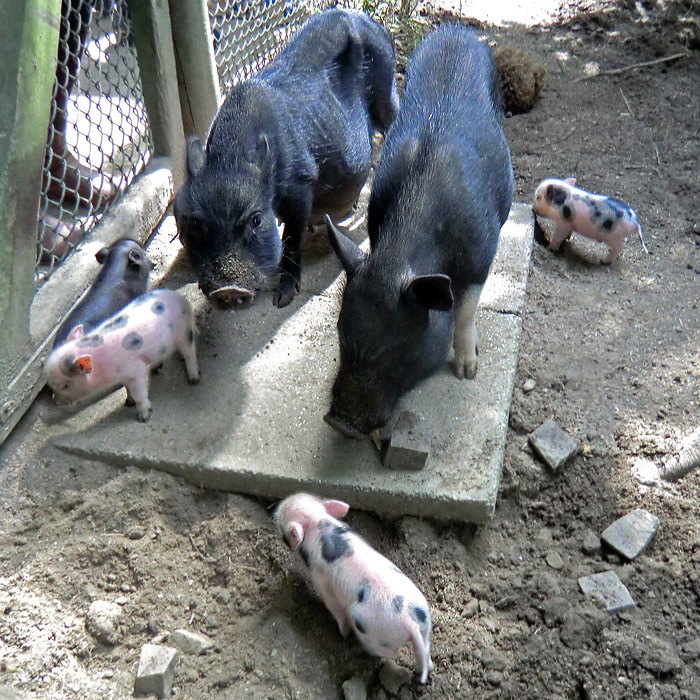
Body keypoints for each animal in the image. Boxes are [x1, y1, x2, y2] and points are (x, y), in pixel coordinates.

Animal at [173, 7, 396, 308]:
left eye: (256, 220)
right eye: (197, 223)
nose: (228, 290)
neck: (231, 160)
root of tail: (365, 18)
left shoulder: (302, 182)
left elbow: (291, 237)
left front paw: (282, 299)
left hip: (387, 91)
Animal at [324, 26, 516, 438]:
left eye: (394, 347)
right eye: (342, 335)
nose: (339, 423)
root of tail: (457, 30)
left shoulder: (482, 256)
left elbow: (465, 310)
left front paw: (467, 373)